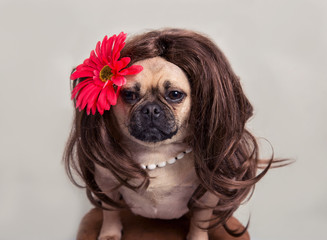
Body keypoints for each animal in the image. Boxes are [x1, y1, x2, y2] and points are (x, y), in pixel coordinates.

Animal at [64, 29, 272, 240]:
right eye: (129, 95)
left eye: (175, 94)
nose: (151, 109)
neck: (156, 153)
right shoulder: (107, 185)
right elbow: (110, 212)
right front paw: (110, 234)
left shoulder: (206, 196)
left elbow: (200, 221)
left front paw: (197, 237)